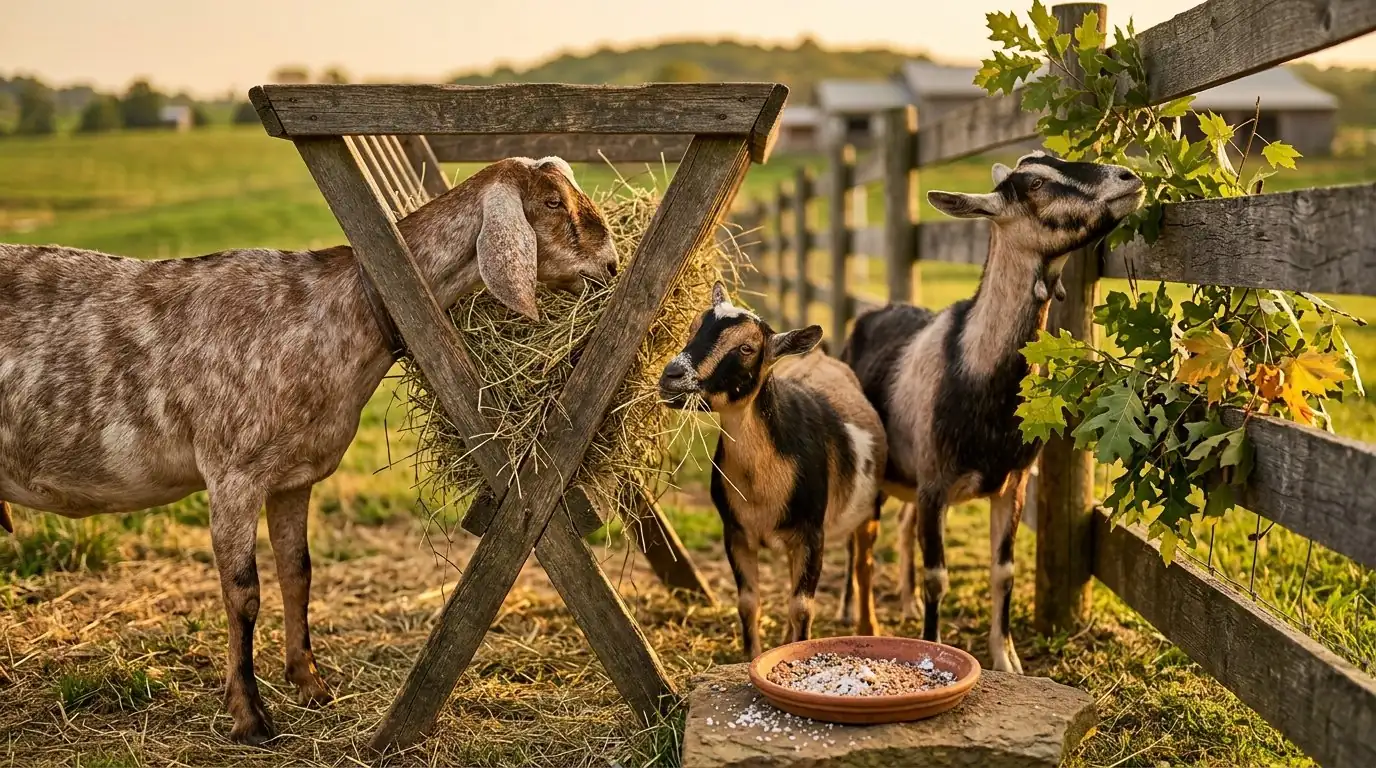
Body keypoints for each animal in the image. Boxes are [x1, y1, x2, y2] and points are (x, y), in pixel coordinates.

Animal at [0, 156, 616, 744]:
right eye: (552, 202)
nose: (611, 266)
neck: (335, 313)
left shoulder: (293, 476)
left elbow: (298, 572)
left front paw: (311, 684)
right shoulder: (233, 472)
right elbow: (243, 592)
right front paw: (250, 717)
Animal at [659, 283, 887, 659]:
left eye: (746, 348)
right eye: (692, 329)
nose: (671, 376)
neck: (759, 486)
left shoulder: (812, 533)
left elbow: (802, 607)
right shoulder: (736, 532)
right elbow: (749, 602)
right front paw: (754, 658)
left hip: (870, 509)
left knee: (864, 565)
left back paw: (870, 628)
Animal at [841, 151, 1143, 673]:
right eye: (1036, 183)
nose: (1128, 176)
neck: (975, 368)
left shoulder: (1011, 482)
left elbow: (1003, 571)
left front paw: (1007, 661)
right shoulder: (935, 485)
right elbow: (938, 575)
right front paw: (933, 647)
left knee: (897, 529)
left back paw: (904, 603)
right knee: (860, 546)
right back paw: (859, 620)